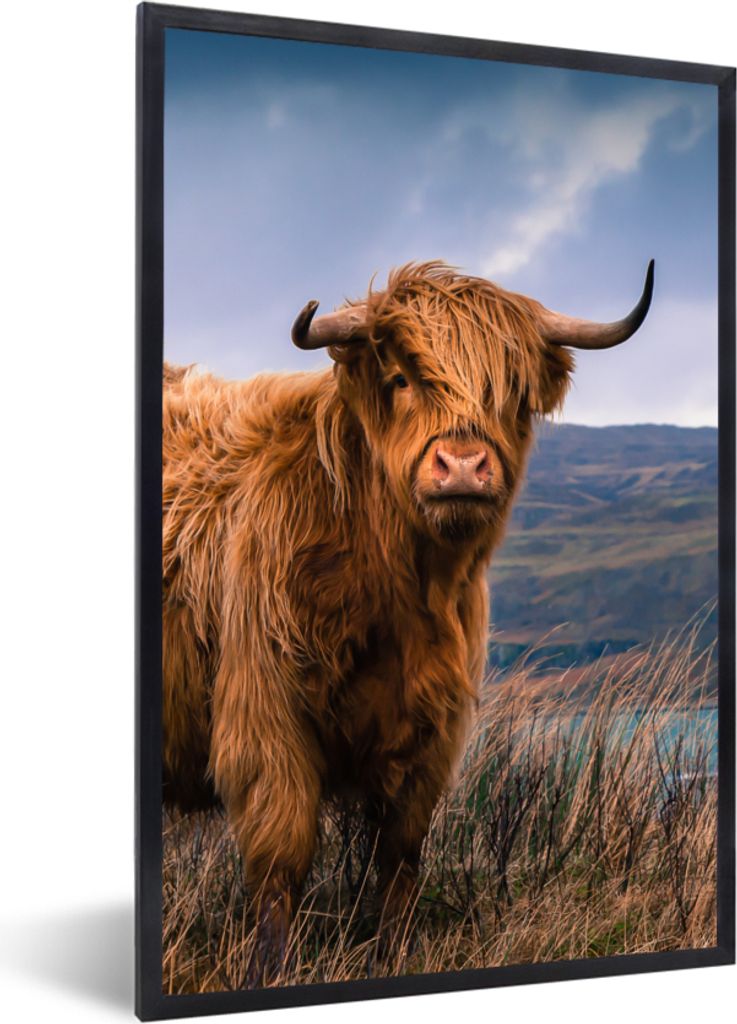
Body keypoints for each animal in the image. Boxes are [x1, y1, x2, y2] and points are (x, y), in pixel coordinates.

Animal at [162, 259, 654, 981]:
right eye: (401, 379)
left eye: (510, 393)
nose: (463, 467)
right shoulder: (266, 714)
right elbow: (281, 855)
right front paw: (270, 970)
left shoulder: (430, 731)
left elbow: (399, 855)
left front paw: (393, 953)